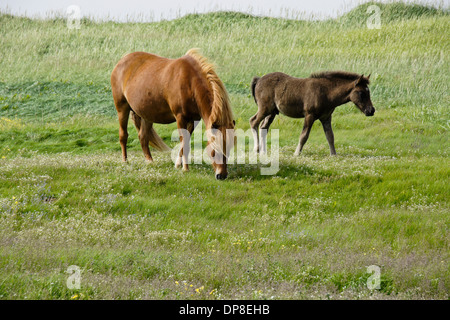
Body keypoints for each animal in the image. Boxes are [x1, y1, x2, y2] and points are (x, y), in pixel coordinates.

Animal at [111, 49, 236, 180]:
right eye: (215, 149)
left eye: (230, 148)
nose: (221, 175)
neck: (190, 82)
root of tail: (122, 61)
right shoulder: (180, 118)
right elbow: (184, 142)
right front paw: (185, 168)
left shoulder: (194, 120)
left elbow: (184, 142)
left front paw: (178, 165)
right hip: (122, 109)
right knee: (123, 135)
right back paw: (125, 161)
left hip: (147, 115)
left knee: (143, 137)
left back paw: (150, 161)